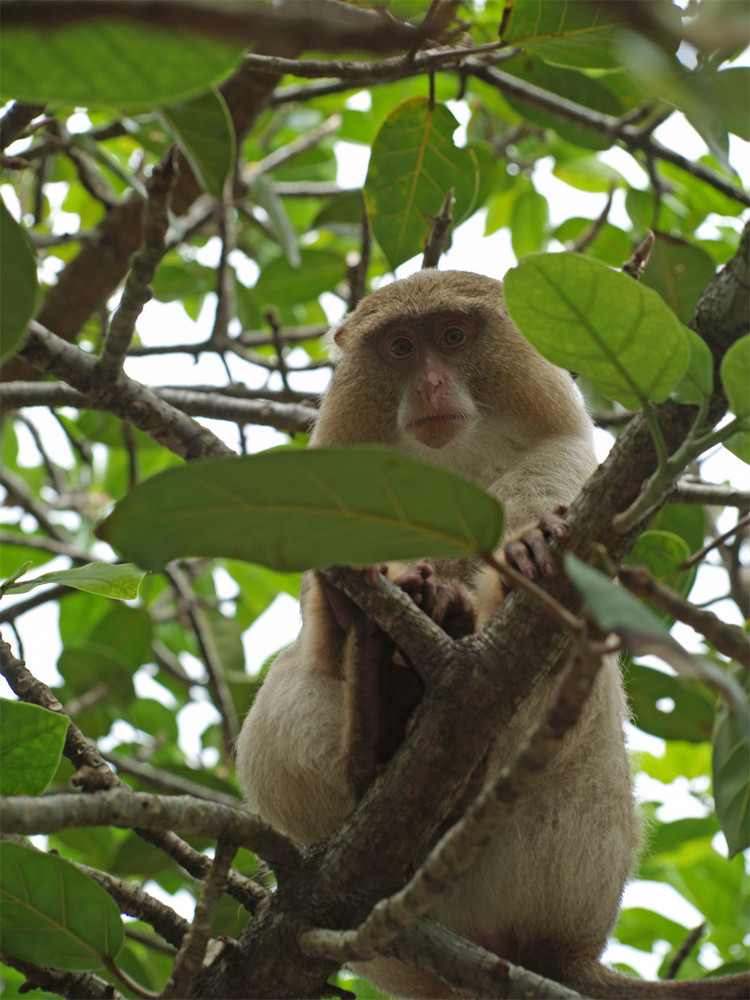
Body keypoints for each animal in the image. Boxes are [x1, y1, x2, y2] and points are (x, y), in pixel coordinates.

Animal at [236, 270, 750, 996]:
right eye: (400, 347)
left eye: (452, 337)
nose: (429, 385)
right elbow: (319, 636)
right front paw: (351, 610)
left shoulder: (566, 459)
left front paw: (526, 560)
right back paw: (381, 721)